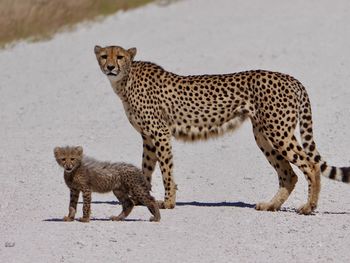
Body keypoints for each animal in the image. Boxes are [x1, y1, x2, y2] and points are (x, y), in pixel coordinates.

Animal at [94, 44, 348, 214]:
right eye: (105, 55)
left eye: (120, 56)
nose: (110, 67)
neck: (125, 80)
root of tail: (289, 77)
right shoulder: (148, 137)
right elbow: (146, 169)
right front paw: (141, 198)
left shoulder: (160, 133)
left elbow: (166, 170)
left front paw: (167, 202)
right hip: (263, 135)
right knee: (289, 174)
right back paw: (270, 205)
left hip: (278, 131)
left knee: (310, 165)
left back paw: (308, 206)